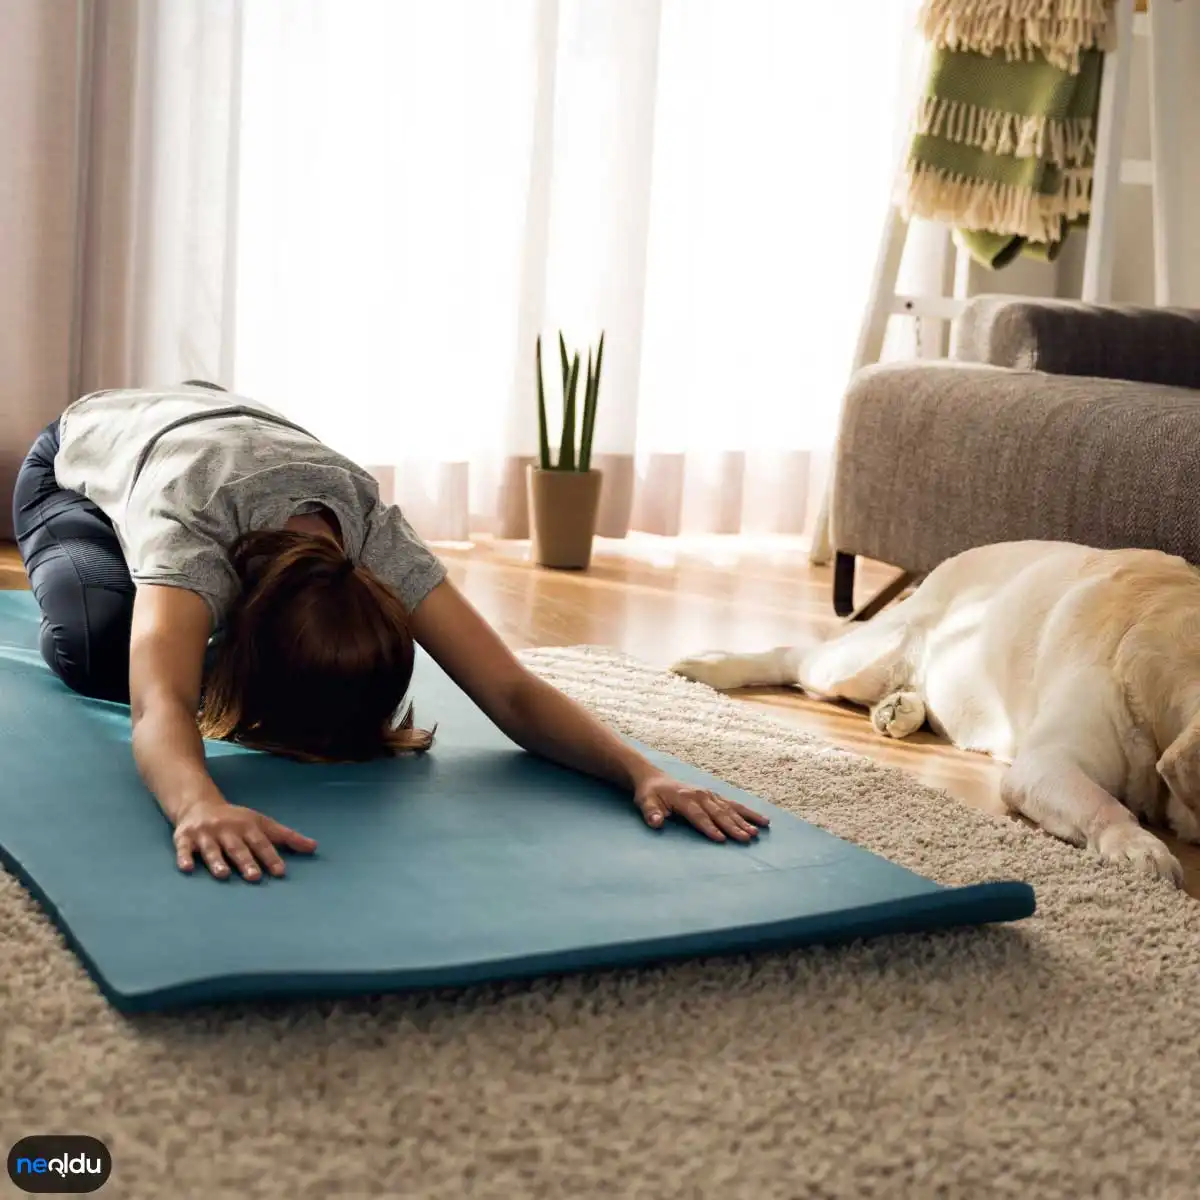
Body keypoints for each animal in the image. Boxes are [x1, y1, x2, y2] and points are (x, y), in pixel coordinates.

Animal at [676, 540, 1200, 888]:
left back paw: (900, 709)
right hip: (863, 659)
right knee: (798, 657)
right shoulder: (1046, 763)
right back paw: (709, 664)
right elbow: (1102, 805)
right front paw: (1137, 845)